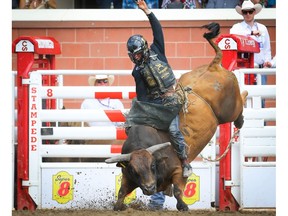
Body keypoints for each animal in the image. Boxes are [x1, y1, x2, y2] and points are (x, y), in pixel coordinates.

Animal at [106, 23, 248, 211]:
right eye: (135, 170)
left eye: (152, 165)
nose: (149, 187)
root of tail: (213, 66)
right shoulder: (128, 176)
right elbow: (122, 192)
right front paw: (119, 206)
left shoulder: (177, 170)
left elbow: (179, 190)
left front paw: (183, 205)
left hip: (229, 108)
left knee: (240, 104)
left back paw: (241, 116)